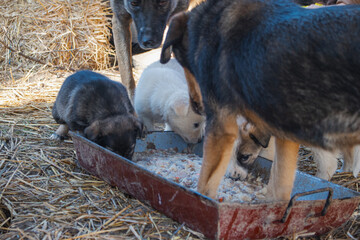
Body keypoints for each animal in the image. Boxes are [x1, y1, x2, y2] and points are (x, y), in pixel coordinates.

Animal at [162, 0, 360, 202]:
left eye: (184, 63)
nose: (196, 106)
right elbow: (279, 181)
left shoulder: (222, 128)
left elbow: (206, 182)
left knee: (328, 162)